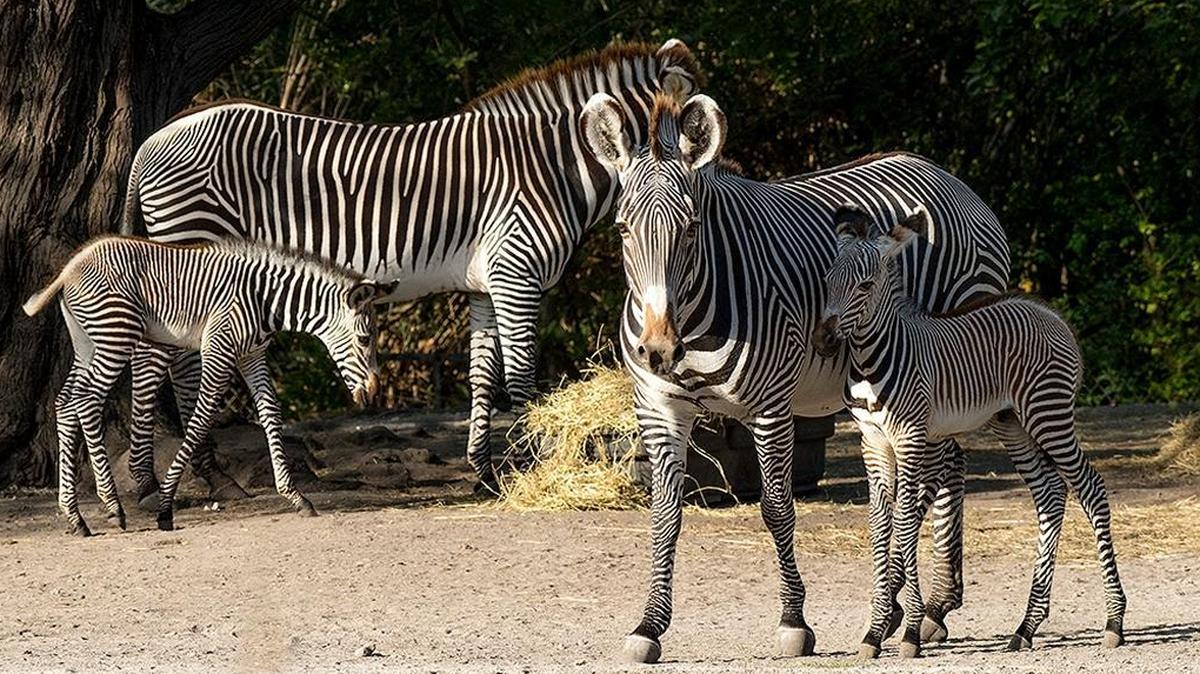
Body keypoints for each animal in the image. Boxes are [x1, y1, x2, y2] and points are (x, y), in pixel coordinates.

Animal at [22, 235, 394, 534]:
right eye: (365, 339)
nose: (374, 392)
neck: (265, 300)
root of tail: (69, 269)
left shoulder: (252, 356)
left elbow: (271, 414)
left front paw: (296, 496)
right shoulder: (219, 350)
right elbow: (200, 421)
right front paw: (165, 507)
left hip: (87, 343)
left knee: (65, 403)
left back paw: (75, 517)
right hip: (116, 337)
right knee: (86, 402)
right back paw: (112, 508)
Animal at [119, 40, 703, 499]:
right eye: (697, 134)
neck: (554, 167)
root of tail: (150, 140)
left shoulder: (486, 283)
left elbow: (482, 375)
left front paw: (484, 473)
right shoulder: (517, 271)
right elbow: (521, 376)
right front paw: (534, 467)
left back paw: (172, 479)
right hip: (192, 246)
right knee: (172, 363)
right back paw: (200, 479)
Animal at [579, 92, 1011, 663]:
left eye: (691, 229)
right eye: (623, 230)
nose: (658, 349)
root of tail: (948, 177)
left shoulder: (770, 408)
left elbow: (777, 509)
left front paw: (793, 622)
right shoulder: (658, 408)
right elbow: (665, 516)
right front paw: (649, 626)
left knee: (941, 472)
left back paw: (927, 608)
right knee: (949, 466)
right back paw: (923, 607)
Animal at [812, 204, 1126, 657]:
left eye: (865, 285)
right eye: (827, 281)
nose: (822, 341)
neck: (871, 362)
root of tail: (1050, 315)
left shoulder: (910, 435)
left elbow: (905, 523)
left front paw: (909, 632)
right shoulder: (872, 442)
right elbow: (880, 527)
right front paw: (873, 631)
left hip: (1048, 414)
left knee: (1091, 487)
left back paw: (1115, 622)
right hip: (1012, 423)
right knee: (1050, 495)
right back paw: (1026, 626)